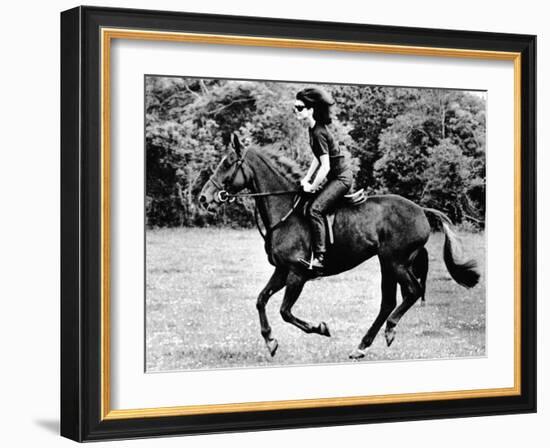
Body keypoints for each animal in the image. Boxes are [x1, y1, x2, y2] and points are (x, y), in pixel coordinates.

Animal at [198, 135, 478, 358]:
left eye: (227, 163)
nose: (203, 198)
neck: (285, 213)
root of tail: (421, 210)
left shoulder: (297, 274)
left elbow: (285, 311)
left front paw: (320, 328)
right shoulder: (282, 271)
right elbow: (260, 300)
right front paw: (270, 340)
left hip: (395, 262)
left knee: (412, 291)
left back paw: (388, 329)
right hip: (387, 263)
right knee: (388, 301)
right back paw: (362, 346)